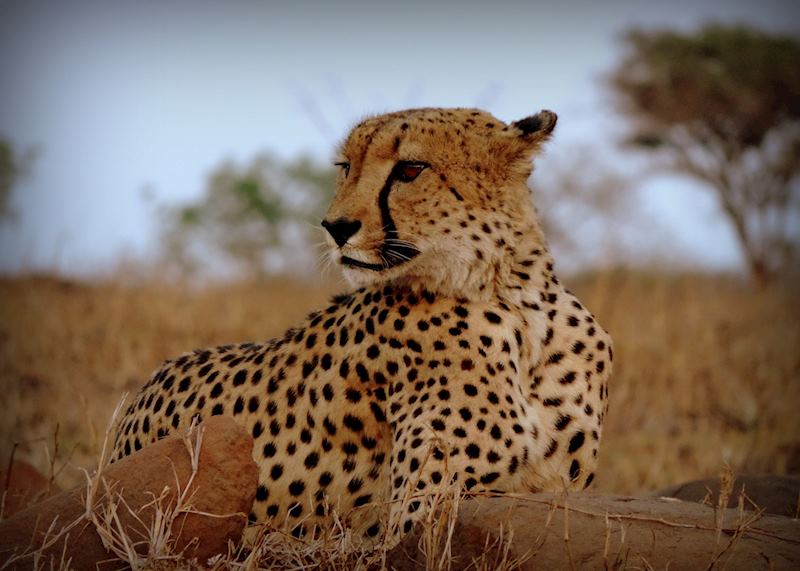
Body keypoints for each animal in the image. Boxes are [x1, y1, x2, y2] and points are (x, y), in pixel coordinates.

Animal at [112, 107, 613, 548]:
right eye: (346, 166)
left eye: (410, 169)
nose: (335, 226)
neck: (517, 302)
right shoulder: (418, 517)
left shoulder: (552, 492)